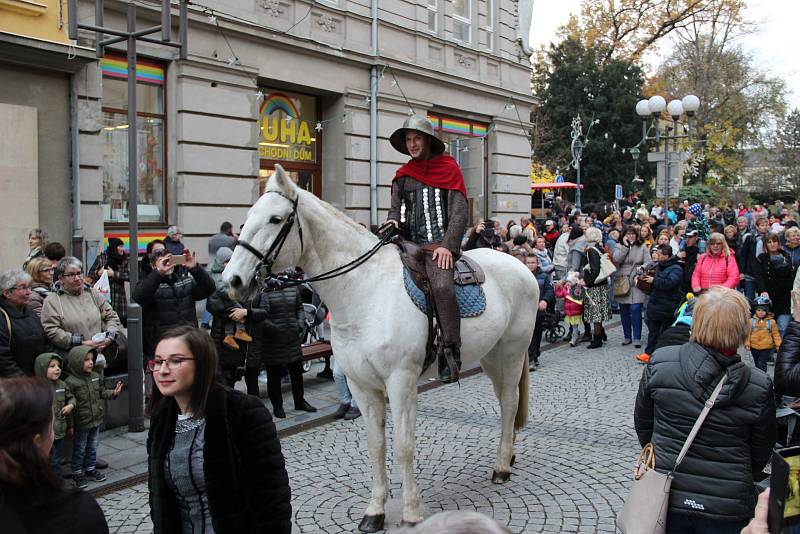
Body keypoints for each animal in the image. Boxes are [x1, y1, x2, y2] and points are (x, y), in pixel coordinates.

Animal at [223, 166, 536, 532]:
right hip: (491, 356)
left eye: (275, 218)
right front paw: (374, 511)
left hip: (511, 352)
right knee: (504, 401)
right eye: (248, 217)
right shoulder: (361, 384)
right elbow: (375, 446)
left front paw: (412, 512)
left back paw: (502, 467)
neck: (363, 290)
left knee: (510, 402)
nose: (232, 281)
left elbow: (403, 445)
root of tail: (520, 266)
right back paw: (508, 453)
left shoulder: (400, 382)